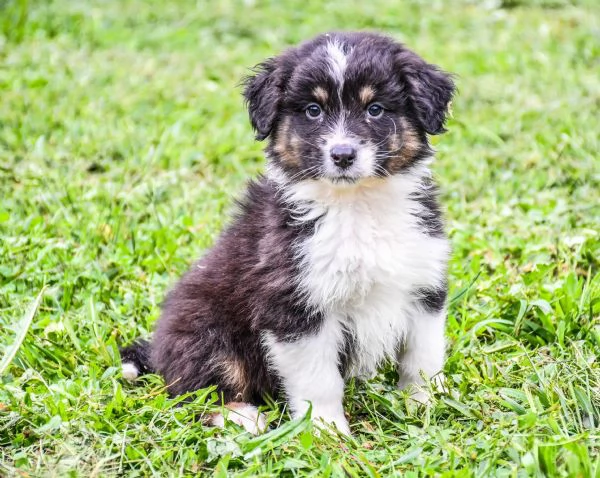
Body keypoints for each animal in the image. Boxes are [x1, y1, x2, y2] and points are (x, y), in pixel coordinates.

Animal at [119, 31, 452, 436]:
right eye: (313, 110)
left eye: (375, 109)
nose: (342, 154)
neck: (356, 205)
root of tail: (157, 350)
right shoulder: (294, 306)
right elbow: (319, 380)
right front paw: (328, 432)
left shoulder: (424, 287)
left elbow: (422, 358)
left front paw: (423, 409)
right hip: (206, 332)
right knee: (195, 392)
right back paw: (243, 417)